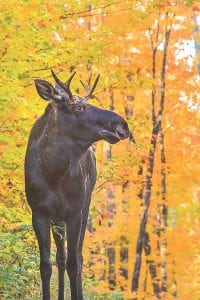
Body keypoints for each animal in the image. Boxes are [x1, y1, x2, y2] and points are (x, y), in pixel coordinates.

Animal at [24, 71, 130, 300]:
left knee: (77, 257)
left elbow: (75, 263)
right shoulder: (39, 213)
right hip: (58, 219)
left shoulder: (74, 212)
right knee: (61, 257)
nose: (123, 125)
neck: (53, 172)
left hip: (85, 206)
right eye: (78, 107)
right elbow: (46, 265)